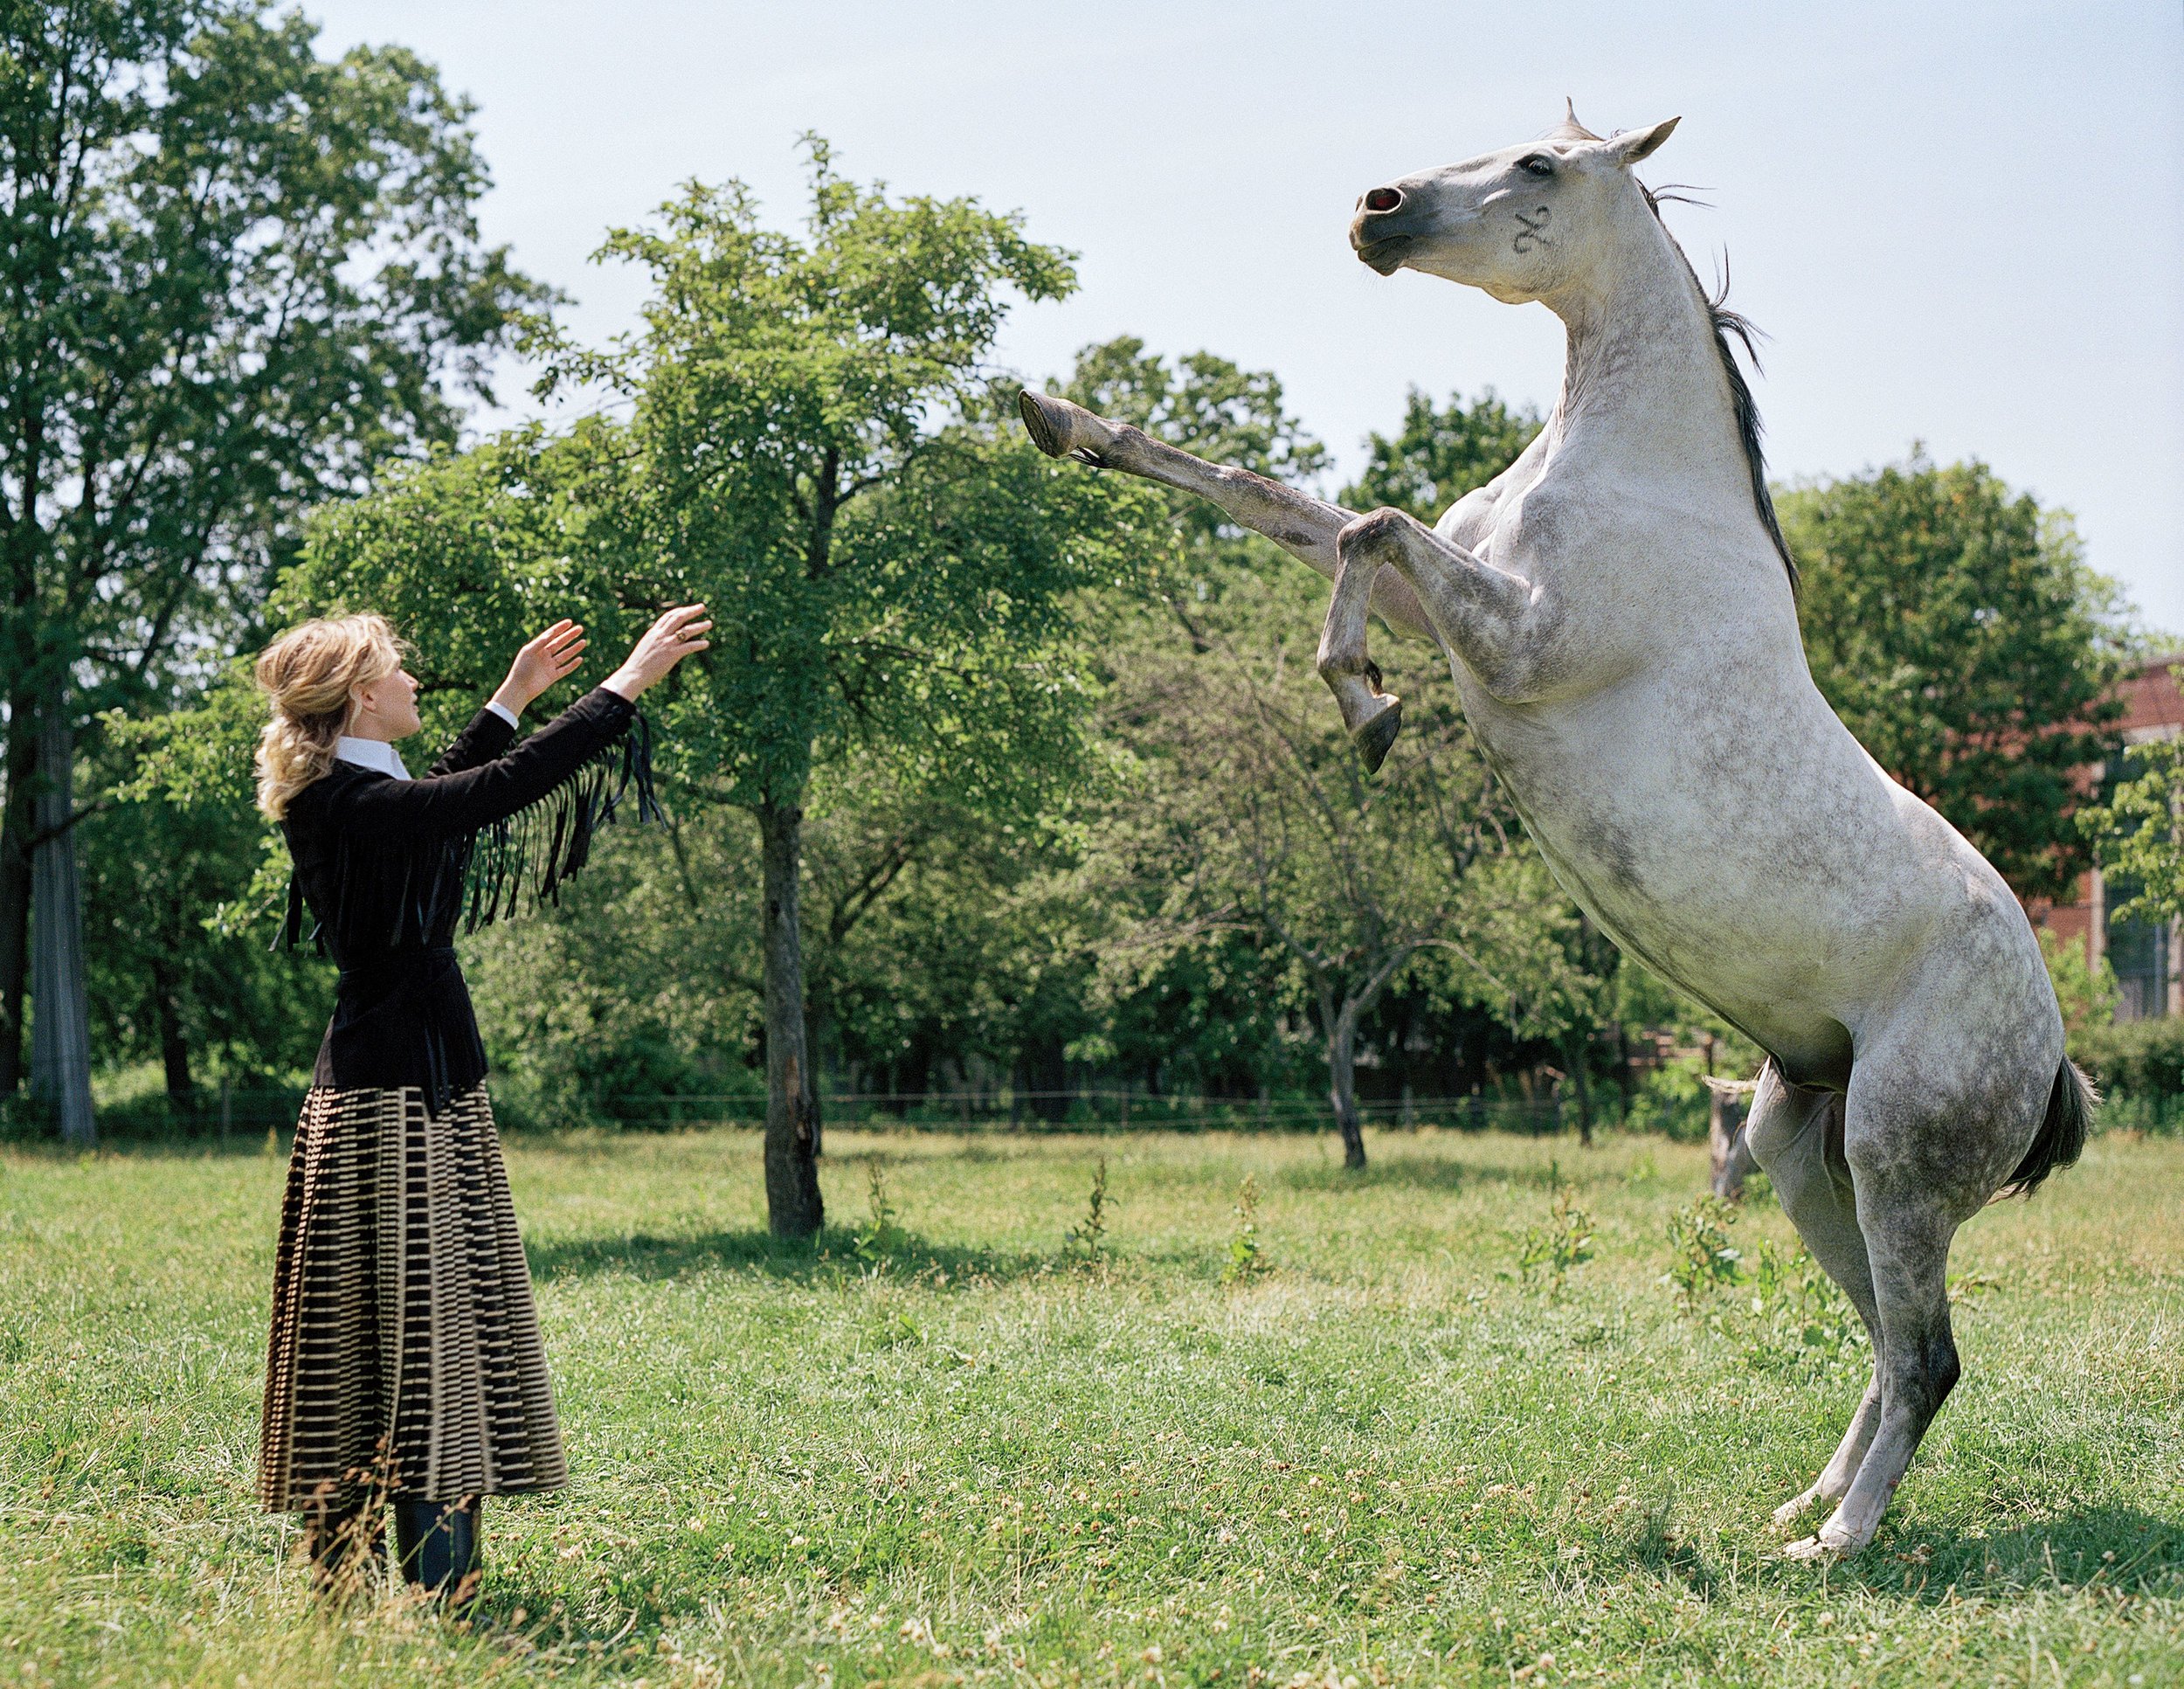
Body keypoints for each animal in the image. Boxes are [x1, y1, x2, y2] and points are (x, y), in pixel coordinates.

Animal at [1013, 105, 2088, 1555]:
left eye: (1538, 165)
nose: (1375, 209)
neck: (1637, 478)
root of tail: (2052, 1049)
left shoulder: (1517, 646)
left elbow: (1370, 524)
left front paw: (1363, 707)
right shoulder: (1452, 606)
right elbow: (1272, 497)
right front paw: (1060, 417)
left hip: (1899, 1168)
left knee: (1927, 1358)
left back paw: (1834, 1544)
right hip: (1801, 1153)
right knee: (1881, 1346)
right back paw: (1804, 1501)